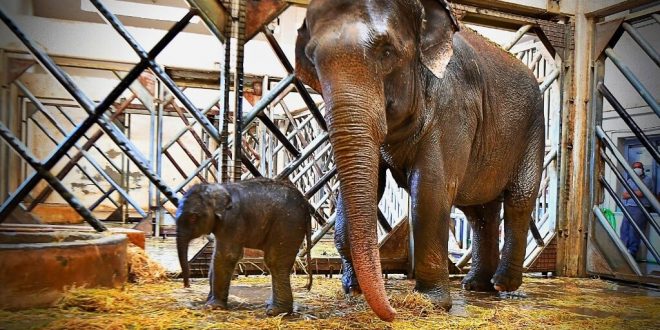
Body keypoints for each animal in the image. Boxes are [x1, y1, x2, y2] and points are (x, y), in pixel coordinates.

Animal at [177, 177, 314, 316]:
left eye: (193, 217)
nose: (186, 286)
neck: (219, 188)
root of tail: (305, 204)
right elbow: (216, 256)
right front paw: (210, 303)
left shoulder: (232, 221)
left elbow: (226, 256)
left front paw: (212, 307)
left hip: (287, 224)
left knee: (275, 262)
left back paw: (275, 311)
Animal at [296, 0, 544, 320]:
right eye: (312, 60)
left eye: (386, 51)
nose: (392, 311)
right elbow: (369, 185)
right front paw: (352, 290)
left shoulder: (453, 104)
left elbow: (430, 188)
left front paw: (431, 303)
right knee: (479, 212)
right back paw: (476, 286)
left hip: (533, 128)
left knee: (519, 199)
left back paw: (502, 284)